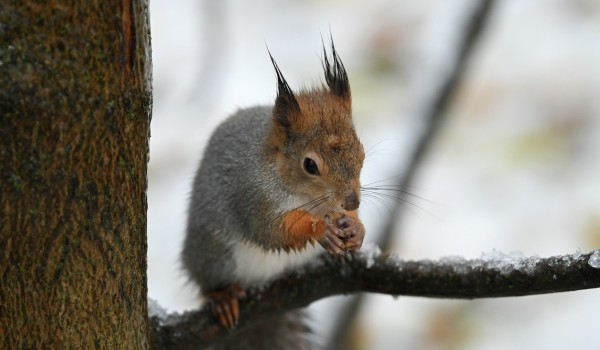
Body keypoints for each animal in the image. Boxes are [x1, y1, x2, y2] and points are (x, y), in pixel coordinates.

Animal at [180, 39, 364, 348]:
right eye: (310, 165)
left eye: (361, 152)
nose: (352, 200)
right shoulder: (252, 196)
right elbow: (270, 231)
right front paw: (319, 229)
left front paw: (357, 228)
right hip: (215, 256)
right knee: (209, 282)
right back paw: (223, 297)